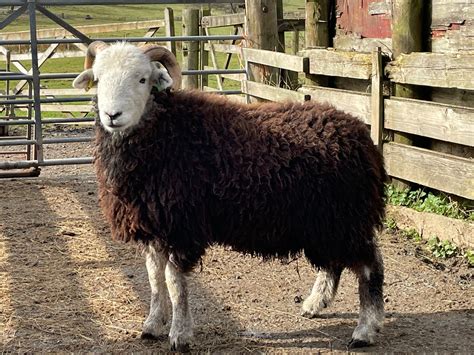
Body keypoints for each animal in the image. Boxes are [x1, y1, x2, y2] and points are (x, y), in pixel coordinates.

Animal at [72, 40, 386, 352]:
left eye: (142, 79)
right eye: (98, 79)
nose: (112, 116)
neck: (165, 132)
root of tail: (359, 132)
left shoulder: (182, 226)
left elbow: (174, 282)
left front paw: (180, 335)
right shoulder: (154, 225)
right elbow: (154, 279)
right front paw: (152, 325)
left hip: (345, 217)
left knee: (369, 266)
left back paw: (365, 330)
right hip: (323, 222)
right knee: (333, 264)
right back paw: (314, 304)